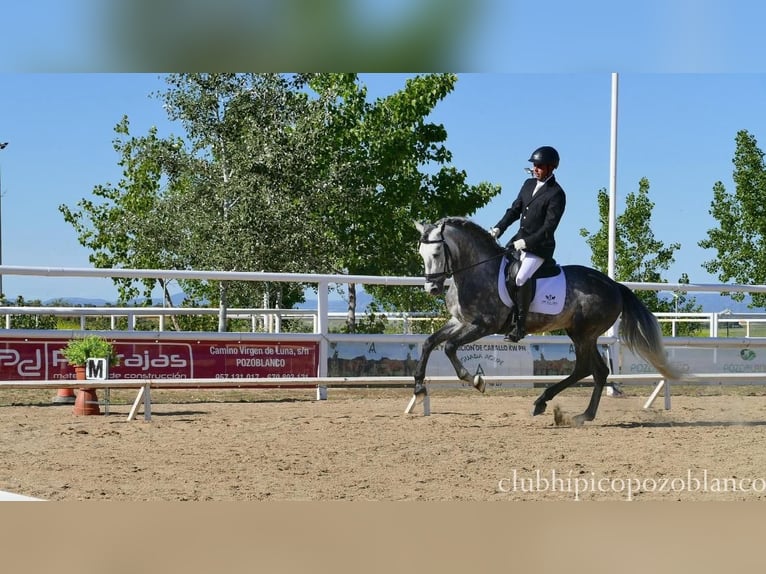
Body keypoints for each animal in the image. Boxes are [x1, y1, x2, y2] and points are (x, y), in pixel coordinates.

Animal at [414, 218, 684, 426]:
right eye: (421, 254)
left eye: (436, 253)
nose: (431, 289)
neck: (476, 272)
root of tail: (614, 285)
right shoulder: (460, 321)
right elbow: (429, 343)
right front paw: (418, 390)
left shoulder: (483, 325)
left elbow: (450, 347)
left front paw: (477, 381)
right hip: (582, 333)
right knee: (598, 371)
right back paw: (582, 415)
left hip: (583, 333)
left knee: (585, 369)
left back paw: (545, 403)